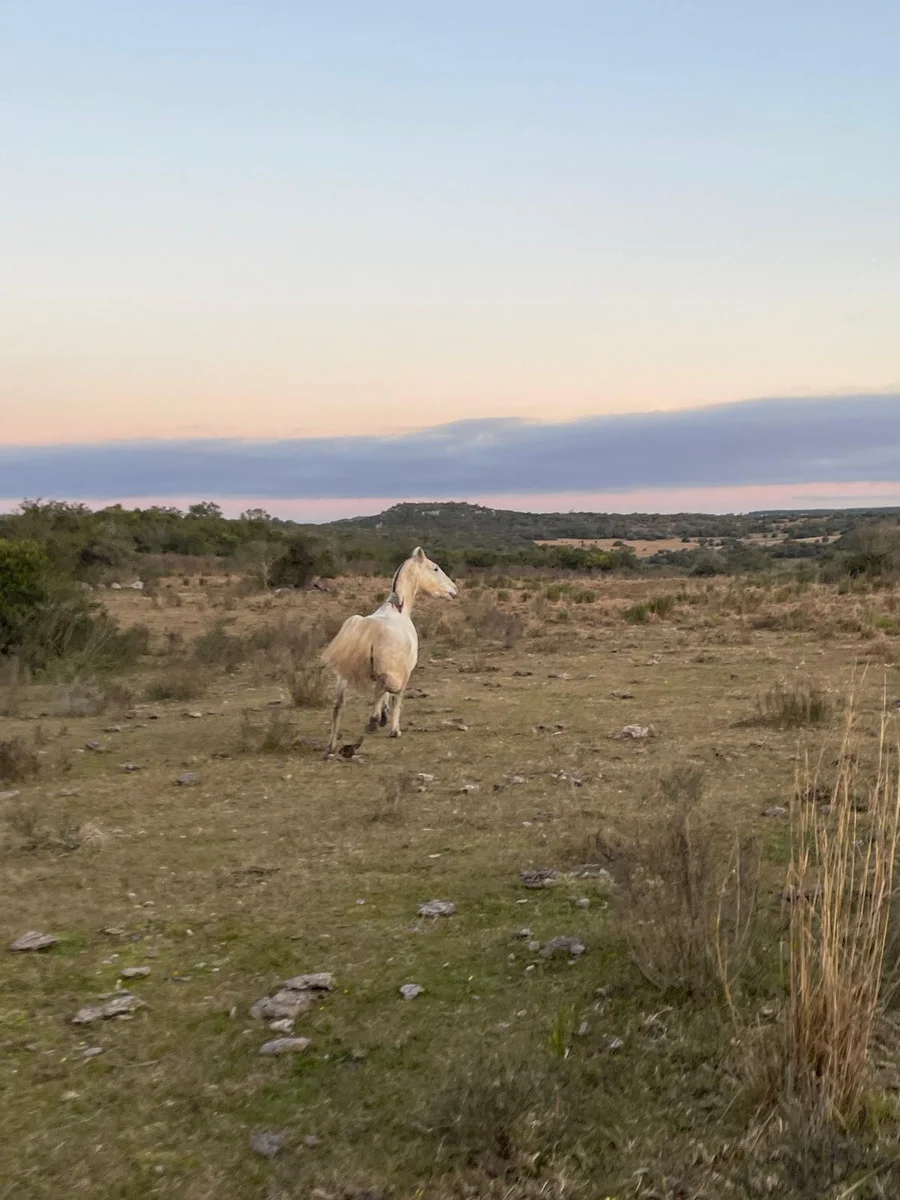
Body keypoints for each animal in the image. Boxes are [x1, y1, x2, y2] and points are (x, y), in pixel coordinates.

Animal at [320, 547, 458, 757]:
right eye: (435, 568)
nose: (454, 590)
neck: (398, 610)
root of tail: (366, 627)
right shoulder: (405, 673)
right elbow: (396, 698)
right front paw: (394, 729)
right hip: (389, 673)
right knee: (382, 687)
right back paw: (373, 722)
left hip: (343, 677)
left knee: (339, 706)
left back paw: (332, 746)